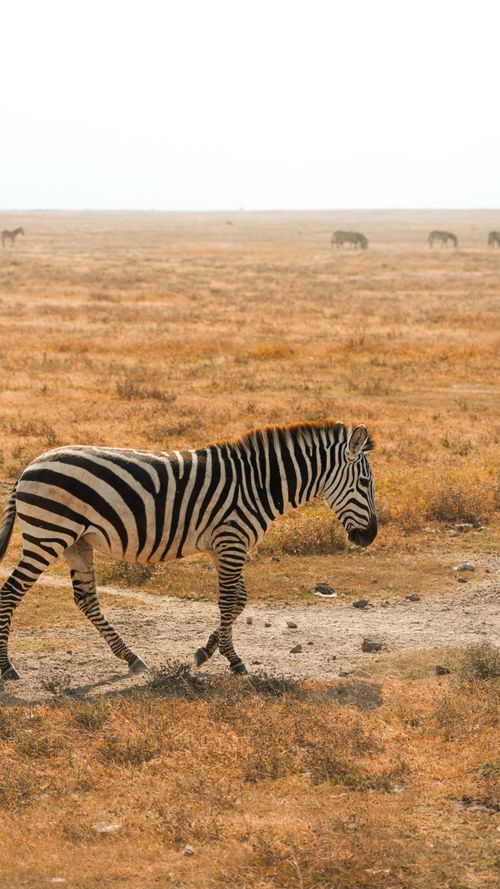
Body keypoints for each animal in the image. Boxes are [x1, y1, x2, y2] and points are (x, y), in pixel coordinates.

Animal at [0, 421, 377, 680]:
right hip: (49, 534)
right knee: (11, 593)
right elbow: (228, 601)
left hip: (77, 541)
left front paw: (203, 653)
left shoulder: (221, 546)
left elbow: (239, 600)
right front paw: (233, 660)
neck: (259, 484)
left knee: (86, 599)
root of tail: (28, 467)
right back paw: (8, 668)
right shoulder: (231, 540)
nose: (370, 537)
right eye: (365, 483)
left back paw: (132, 658)